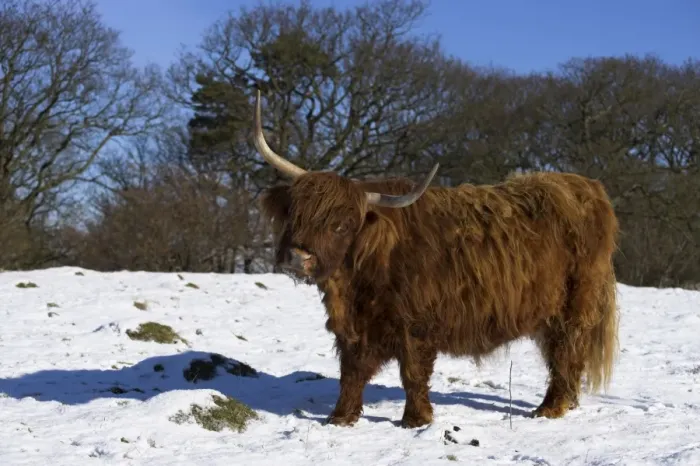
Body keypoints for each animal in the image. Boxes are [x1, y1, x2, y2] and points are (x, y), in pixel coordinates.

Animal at [251, 90, 620, 428]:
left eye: (341, 225)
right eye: (296, 214)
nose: (298, 257)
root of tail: (586, 187)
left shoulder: (416, 325)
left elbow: (413, 373)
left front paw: (415, 420)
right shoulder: (356, 329)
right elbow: (351, 372)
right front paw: (341, 418)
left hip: (574, 306)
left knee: (566, 353)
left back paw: (550, 408)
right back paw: (566, 403)